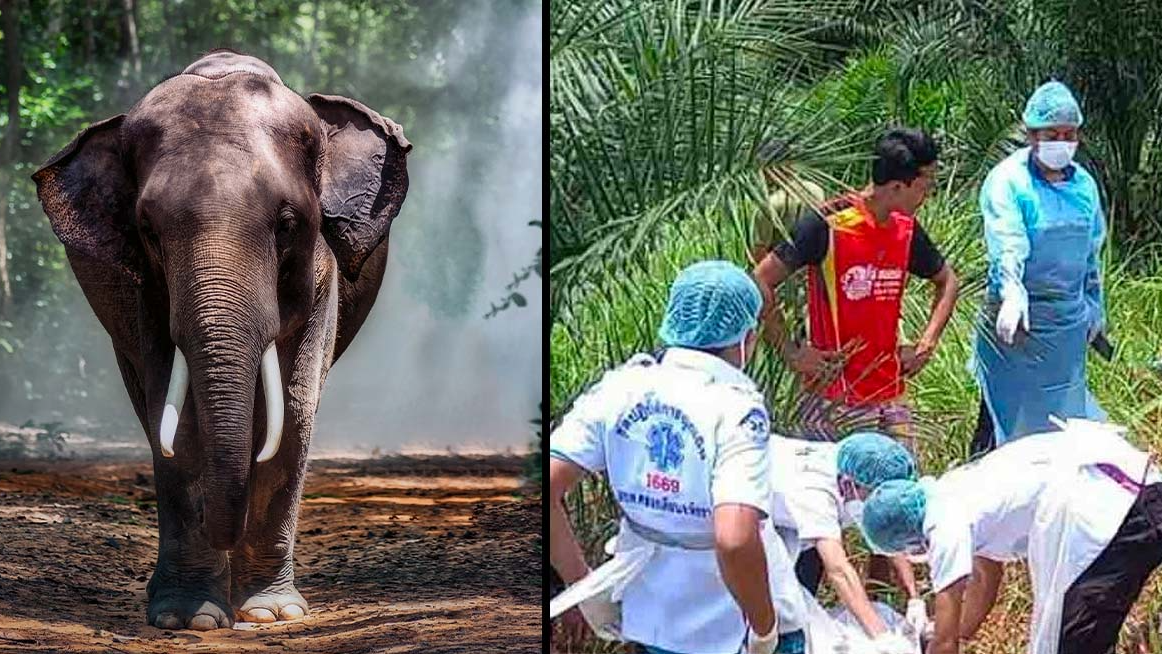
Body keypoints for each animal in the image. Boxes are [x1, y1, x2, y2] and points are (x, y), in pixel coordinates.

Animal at [30, 50, 411, 631]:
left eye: (287, 223)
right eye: (148, 229)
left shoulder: (320, 273)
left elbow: (293, 409)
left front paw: (272, 613)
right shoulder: (144, 290)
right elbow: (177, 417)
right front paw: (189, 618)